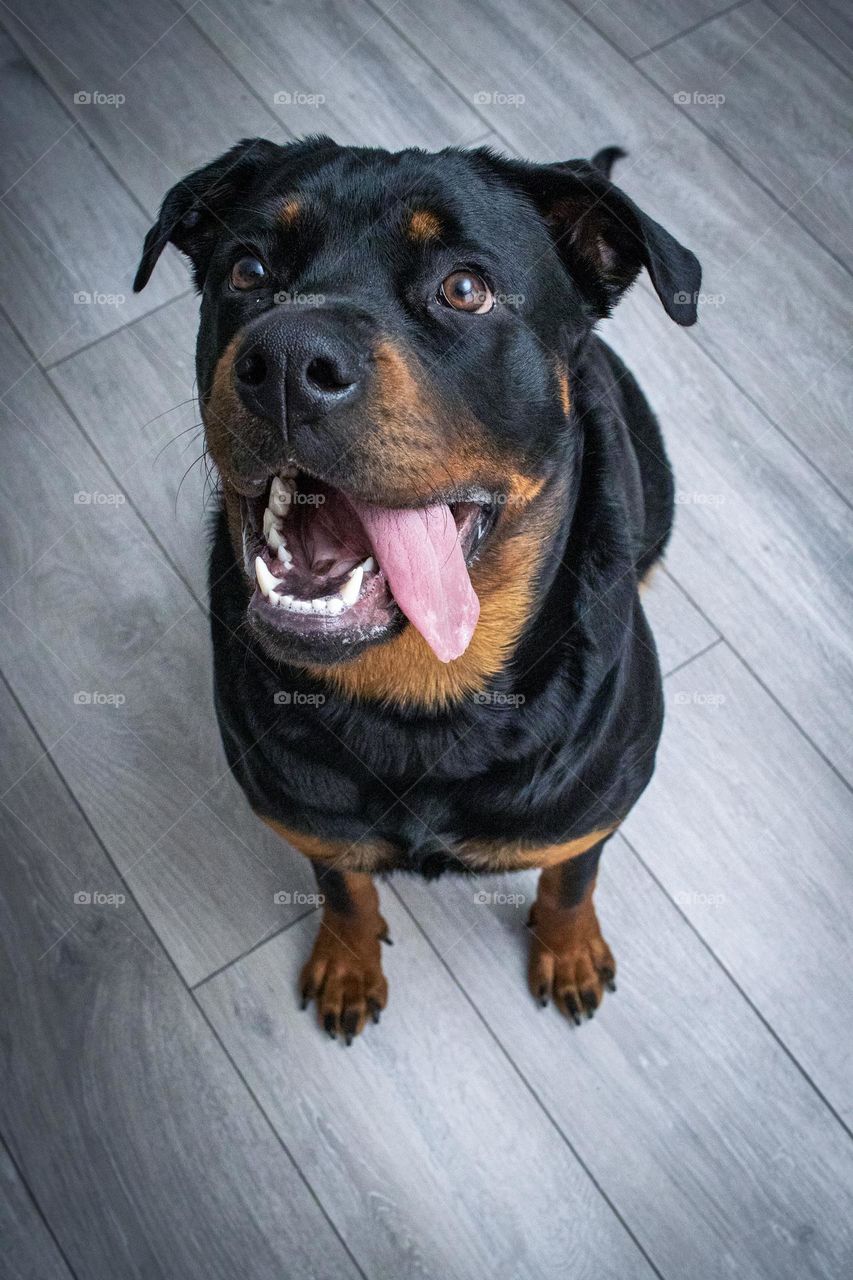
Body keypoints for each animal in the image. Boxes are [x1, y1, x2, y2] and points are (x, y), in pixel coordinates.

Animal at [133, 135, 696, 1044]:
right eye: (247, 269)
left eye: (465, 289)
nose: (286, 361)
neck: (421, 692)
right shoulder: (307, 817)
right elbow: (342, 886)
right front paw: (347, 960)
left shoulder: (592, 810)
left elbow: (570, 877)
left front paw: (569, 948)